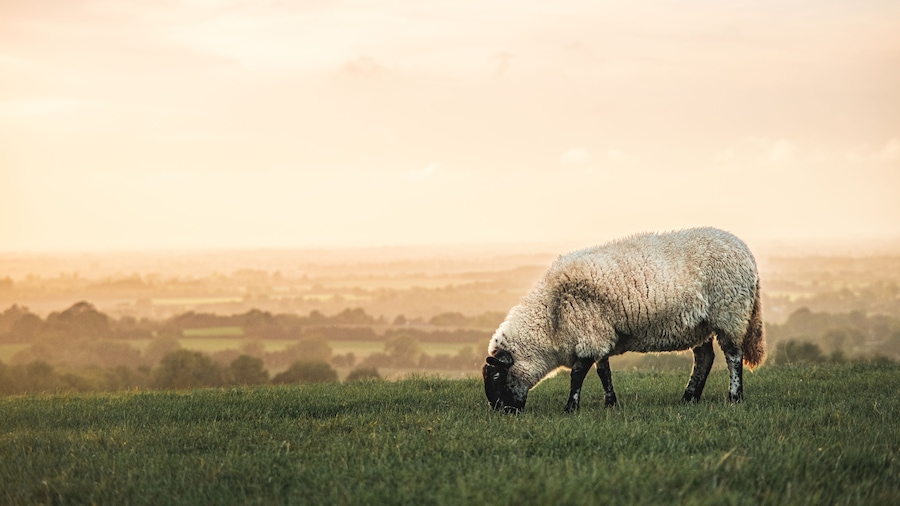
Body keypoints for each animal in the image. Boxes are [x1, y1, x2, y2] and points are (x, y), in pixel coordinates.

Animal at [483, 227, 765, 413]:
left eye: (496, 376)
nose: (502, 411)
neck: (551, 319)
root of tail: (746, 251)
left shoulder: (589, 332)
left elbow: (578, 373)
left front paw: (570, 407)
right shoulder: (600, 333)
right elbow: (603, 371)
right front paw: (610, 403)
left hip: (729, 312)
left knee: (733, 356)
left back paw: (734, 397)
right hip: (699, 324)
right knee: (705, 358)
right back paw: (689, 397)